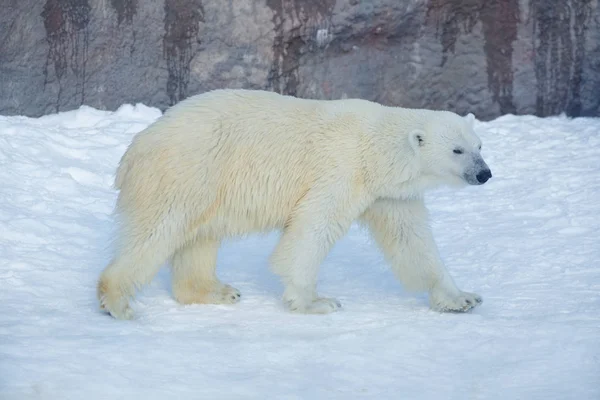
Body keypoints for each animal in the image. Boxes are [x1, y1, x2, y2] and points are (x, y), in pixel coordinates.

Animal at [98, 89, 492, 320]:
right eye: (457, 150)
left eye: (479, 145)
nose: (485, 173)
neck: (376, 147)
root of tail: (134, 150)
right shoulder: (342, 169)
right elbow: (312, 230)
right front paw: (315, 302)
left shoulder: (389, 194)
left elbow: (412, 240)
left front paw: (462, 298)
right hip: (188, 169)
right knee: (159, 229)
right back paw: (118, 302)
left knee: (199, 236)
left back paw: (217, 291)